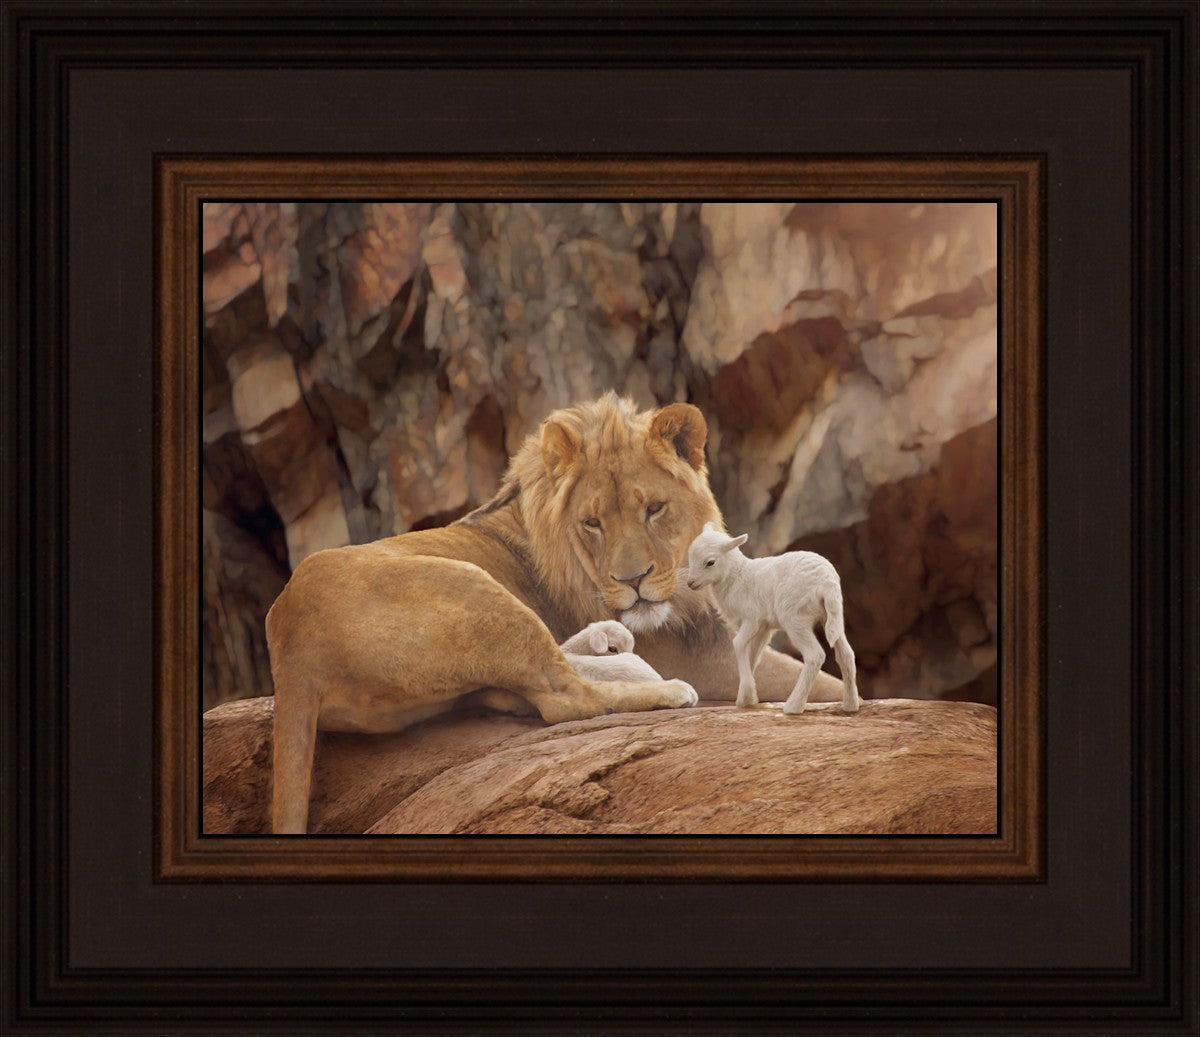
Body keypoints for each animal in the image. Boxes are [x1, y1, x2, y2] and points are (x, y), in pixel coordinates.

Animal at [685, 523, 860, 715]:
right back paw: (850, 705)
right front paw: (747, 697)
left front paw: (746, 695)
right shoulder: (764, 628)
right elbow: (753, 655)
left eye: (710, 562)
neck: (737, 577)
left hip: (795, 618)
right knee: (846, 654)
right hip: (833, 616)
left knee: (815, 655)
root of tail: (827, 583)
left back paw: (793, 706)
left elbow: (738, 644)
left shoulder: (752, 619)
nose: (690, 583)